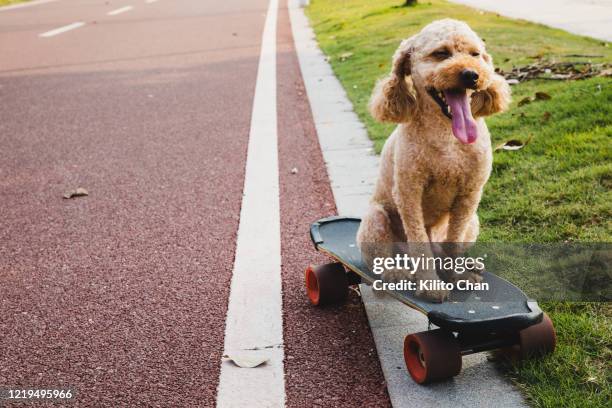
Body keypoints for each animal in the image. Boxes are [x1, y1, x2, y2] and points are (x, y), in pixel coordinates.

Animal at [356, 19, 510, 302]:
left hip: (473, 220)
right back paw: (396, 273)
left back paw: (468, 264)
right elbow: (420, 248)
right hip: (376, 219)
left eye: (475, 54)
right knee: (382, 259)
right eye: (441, 53)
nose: (472, 75)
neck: (446, 135)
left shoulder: (469, 195)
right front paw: (431, 285)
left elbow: (454, 242)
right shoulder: (409, 194)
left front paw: (457, 275)